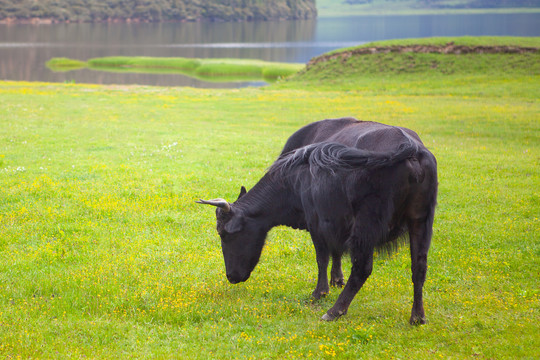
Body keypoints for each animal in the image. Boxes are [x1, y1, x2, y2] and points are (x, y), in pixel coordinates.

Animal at [196, 118, 436, 324]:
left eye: (224, 234)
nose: (231, 276)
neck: (293, 177)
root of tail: (411, 148)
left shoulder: (316, 222)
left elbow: (322, 257)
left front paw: (319, 293)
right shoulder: (335, 223)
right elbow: (336, 252)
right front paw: (336, 280)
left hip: (366, 225)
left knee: (362, 268)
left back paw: (335, 311)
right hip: (421, 221)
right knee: (419, 266)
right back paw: (418, 316)